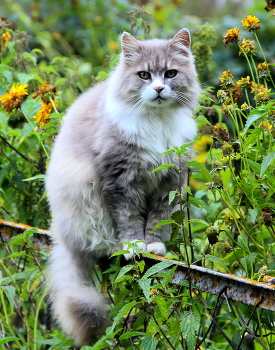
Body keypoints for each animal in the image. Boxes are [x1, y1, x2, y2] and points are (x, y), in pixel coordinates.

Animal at [45, 28, 201, 346]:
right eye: (144, 75)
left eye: (170, 73)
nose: (158, 89)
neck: (156, 122)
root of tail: (62, 238)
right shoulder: (120, 180)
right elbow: (128, 220)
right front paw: (133, 247)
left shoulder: (169, 182)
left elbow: (157, 220)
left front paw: (155, 247)